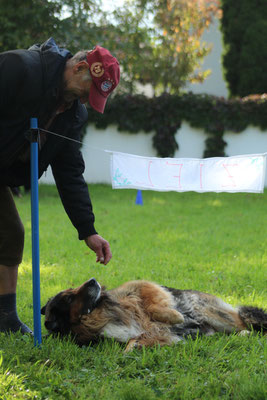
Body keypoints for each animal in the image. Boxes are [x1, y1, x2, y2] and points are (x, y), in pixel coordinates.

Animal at [41, 278, 267, 350]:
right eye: (68, 299)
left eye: (72, 290)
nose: (93, 280)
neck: (99, 313)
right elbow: (138, 339)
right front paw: (133, 348)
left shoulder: (140, 287)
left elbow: (153, 304)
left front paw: (176, 317)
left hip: (212, 312)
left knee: (242, 321)